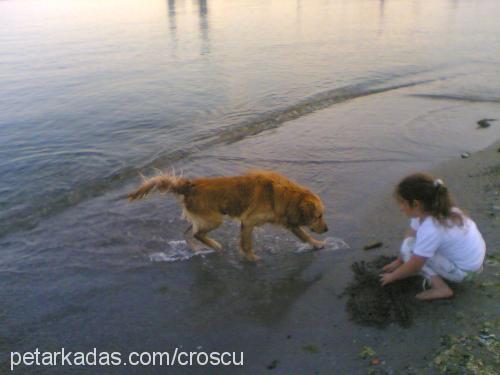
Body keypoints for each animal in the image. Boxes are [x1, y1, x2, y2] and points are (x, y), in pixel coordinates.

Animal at [128, 170, 328, 262]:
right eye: (318, 216)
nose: (327, 229)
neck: (278, 194)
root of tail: (190, 186)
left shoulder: (288, 220)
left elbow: (304, 234)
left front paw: (317, 244)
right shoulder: (248, 222)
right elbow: (247, 244)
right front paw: (252, 259)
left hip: (204, 218)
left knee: (188, 232)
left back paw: (197, 249)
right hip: (215, 219)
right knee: (197, 233)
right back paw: (214, 245)